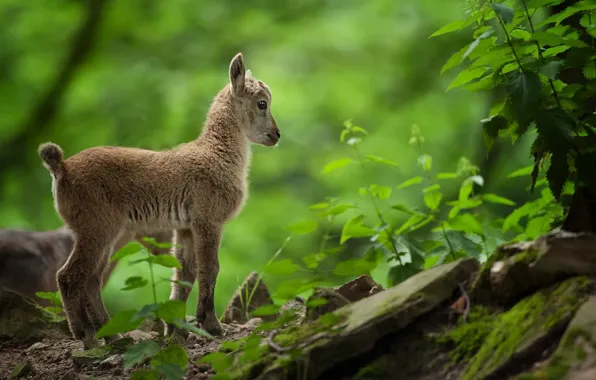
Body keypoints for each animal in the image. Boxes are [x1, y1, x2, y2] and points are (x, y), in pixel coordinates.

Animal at [38, 52, 280, 348]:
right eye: (262, 103)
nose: (276, 135)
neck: (217, 154)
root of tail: (62, 169)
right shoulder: (208, 219)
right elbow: (210, 268)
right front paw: (212, 326)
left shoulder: (185, 226)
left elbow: (185, 274)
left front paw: (177, 329)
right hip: (97, 227)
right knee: (70, 276)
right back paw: (87, 336)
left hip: (113, 233)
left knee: (93, 278)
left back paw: (113, 334)